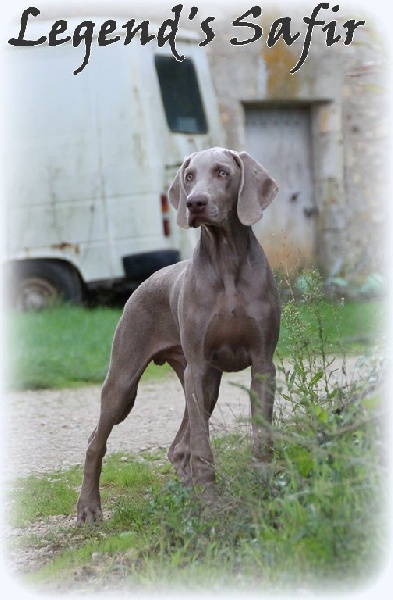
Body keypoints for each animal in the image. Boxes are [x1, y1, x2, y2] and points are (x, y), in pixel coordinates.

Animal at [76, 148, 278, 524]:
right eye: (189, 176)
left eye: (222, 172)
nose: (195, 202)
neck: (227, 262)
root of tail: (144, 281)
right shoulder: (198, 367)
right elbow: (202, 447)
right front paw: (212, 507)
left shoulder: (263, 364)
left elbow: (261, 436)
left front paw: (265, 494)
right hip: (126, 377)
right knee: (97, 440)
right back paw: (89, 508)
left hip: (205, 382)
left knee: (177, 448)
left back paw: (190, 499)